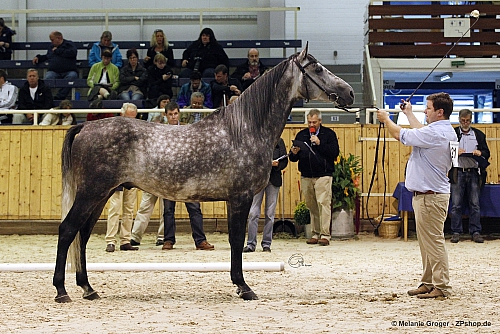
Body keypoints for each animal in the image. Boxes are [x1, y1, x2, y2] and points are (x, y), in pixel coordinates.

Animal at [52, 45, 354, 302]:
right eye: (317, 69)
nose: (349, 92)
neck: (245, 129)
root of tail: (85, 127)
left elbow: (235, 240)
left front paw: (239, 285)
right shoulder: (240, 197)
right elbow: (236, 241)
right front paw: (243, 287)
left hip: (100, 195)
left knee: (82, 235)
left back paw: (88, 288)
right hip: (92, 193)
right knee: (67, 230)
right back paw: (61, 291)